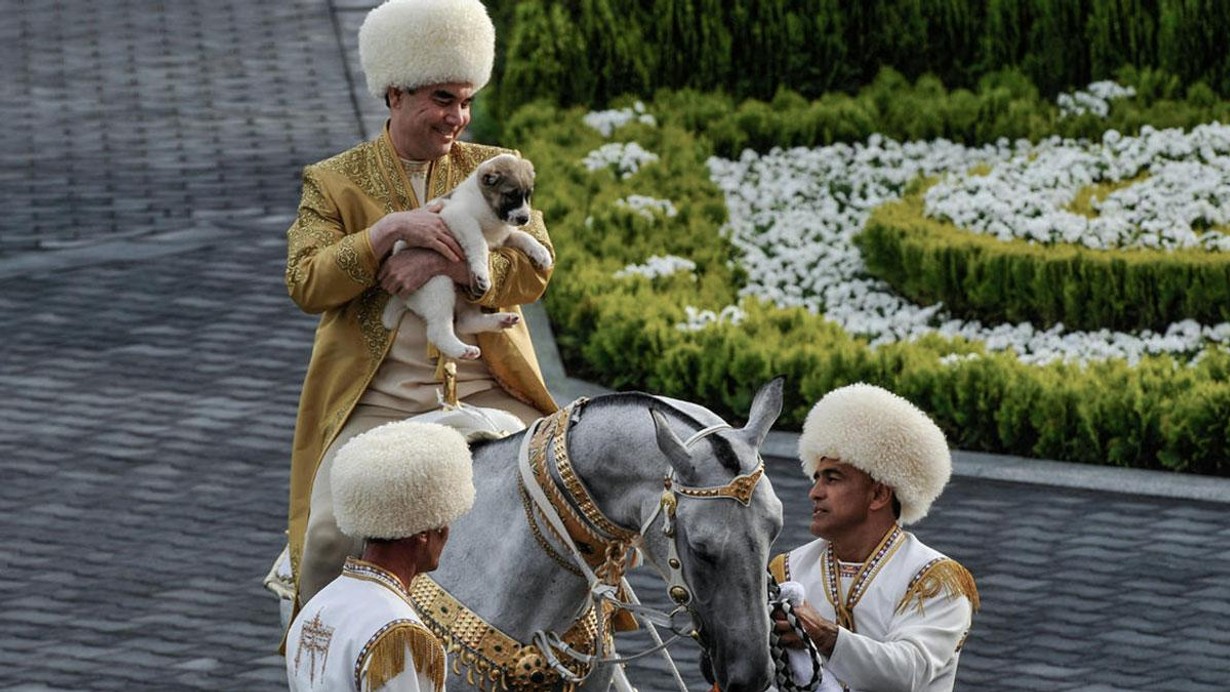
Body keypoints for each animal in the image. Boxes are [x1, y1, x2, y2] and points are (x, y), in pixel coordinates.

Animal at [378, 153, 553, 361]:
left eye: (528, 195)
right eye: (511, 195)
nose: (525, 219)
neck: (488, 207)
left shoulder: (502, 238)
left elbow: (523, 237)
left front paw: (541, 253)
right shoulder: (458, 217)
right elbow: (479, 242)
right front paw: (482, 274)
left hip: (464, 296)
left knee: (466, 322)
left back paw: (501, 321)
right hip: (437, 284)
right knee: (437, 331)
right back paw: (462, 350)